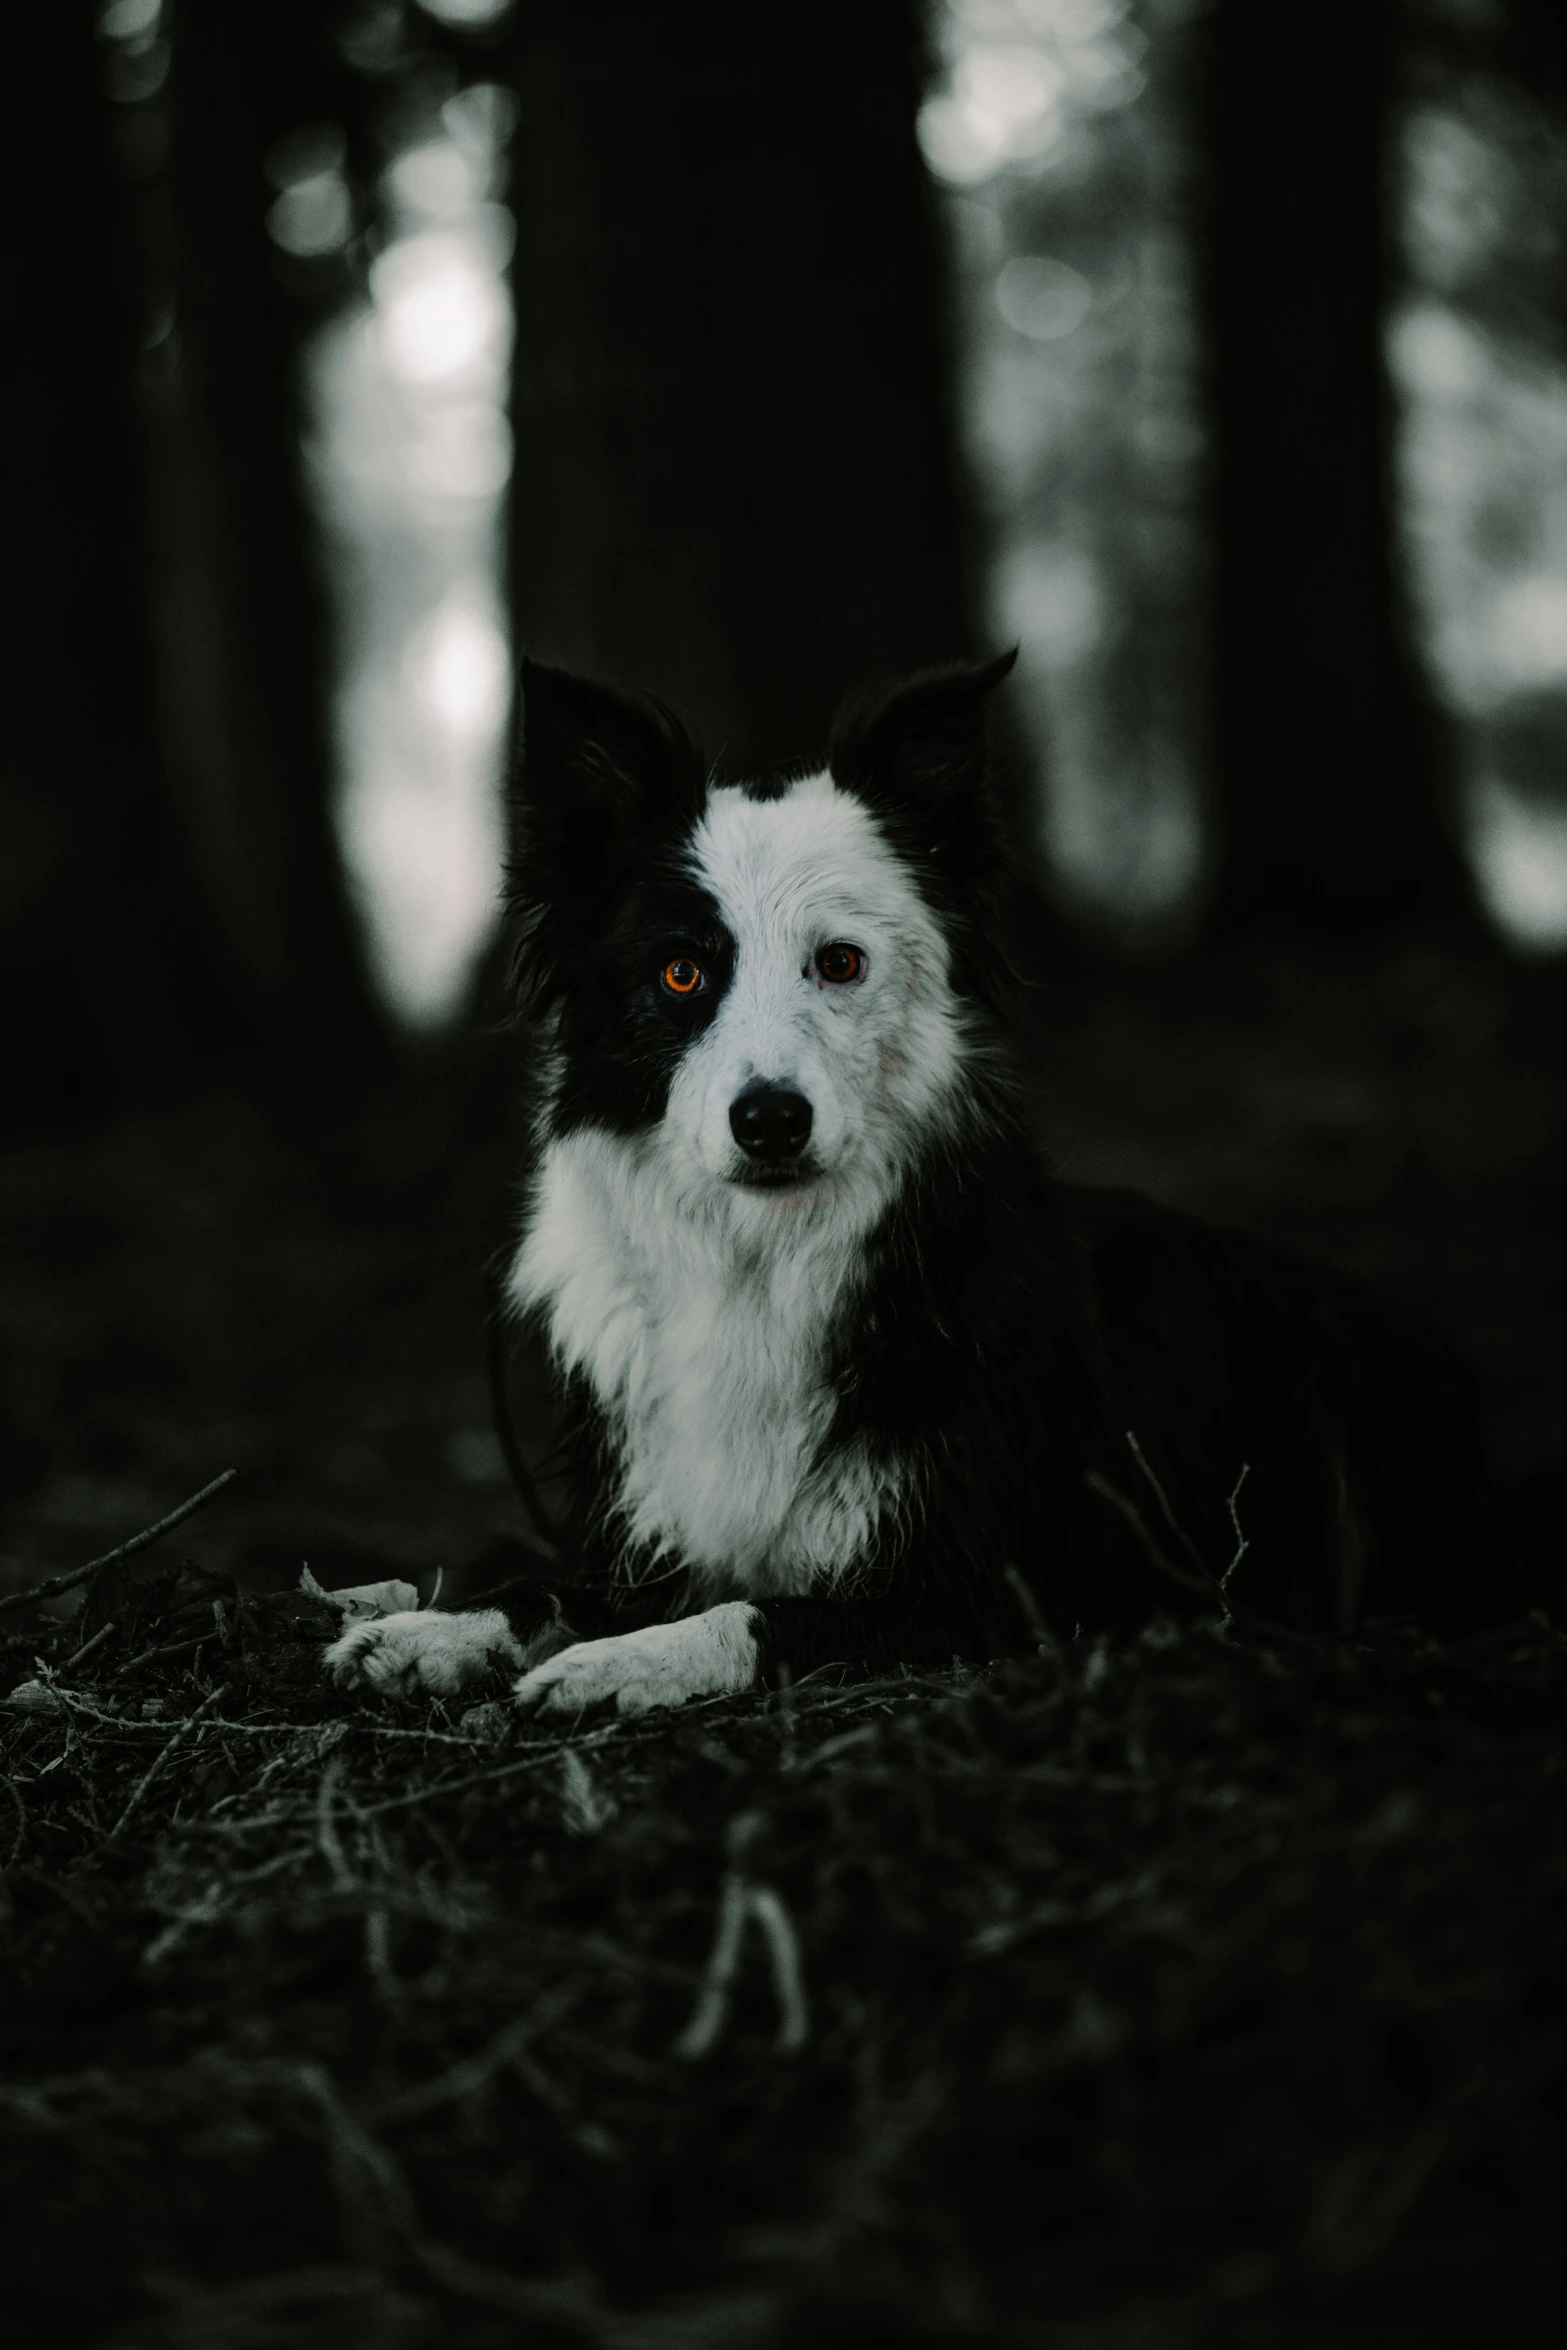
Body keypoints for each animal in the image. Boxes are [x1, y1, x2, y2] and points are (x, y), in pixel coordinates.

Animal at [328, 653, 1494, 1720]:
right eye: (681, 973)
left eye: (839, 962)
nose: (769, 1119)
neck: (762, 1259)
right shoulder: (642, 1525)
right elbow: (549, 1584)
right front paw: (435, 1628)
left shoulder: (1009, 1583)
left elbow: (760, 1609)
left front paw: (621, 1665)